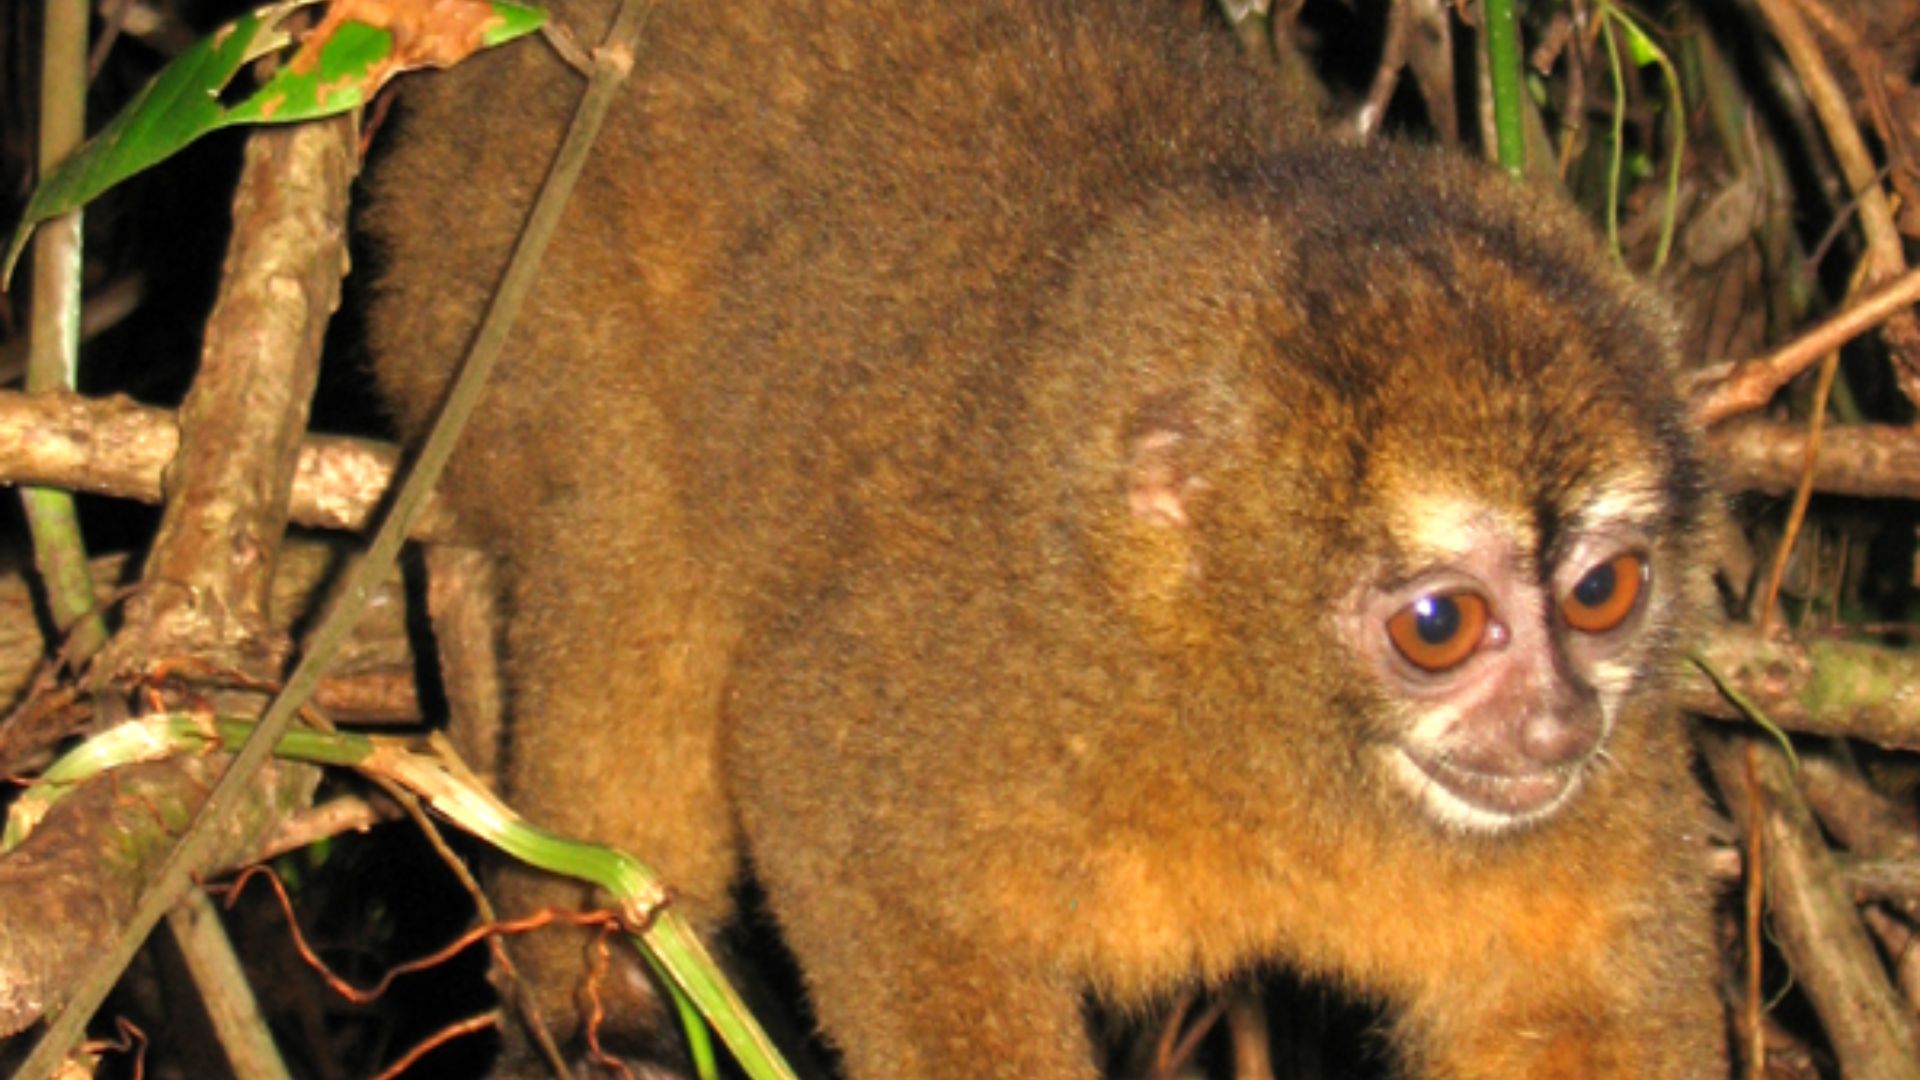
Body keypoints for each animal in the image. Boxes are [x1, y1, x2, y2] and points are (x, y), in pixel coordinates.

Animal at [361, 0, 1730, 1075]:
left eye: (1604, 592)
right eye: (1440, 625)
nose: (1556, 726)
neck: (1281, 761)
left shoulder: (1608, 798)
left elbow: (1580, 1010)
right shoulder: (1000, 679)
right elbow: (822, 782)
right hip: (490, 306)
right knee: (636, 547)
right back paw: (597, 1018)